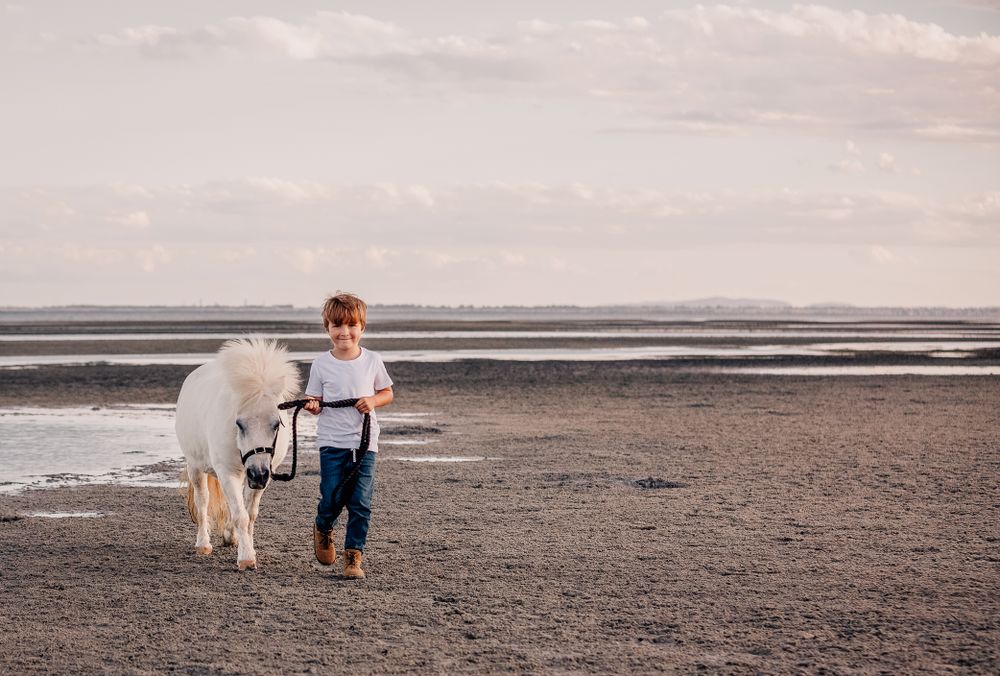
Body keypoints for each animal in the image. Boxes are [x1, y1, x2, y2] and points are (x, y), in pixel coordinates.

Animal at [175, 337, 299, 570]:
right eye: (239, 424)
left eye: (276, 424)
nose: (258, 474)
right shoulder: (227, 472)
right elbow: (240, 515)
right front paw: (246, 558)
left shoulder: (261, 476)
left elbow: (249, 514)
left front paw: (245, 545)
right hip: (195, 466)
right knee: (202, 501)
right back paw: (203, 544)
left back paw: (230, 537)